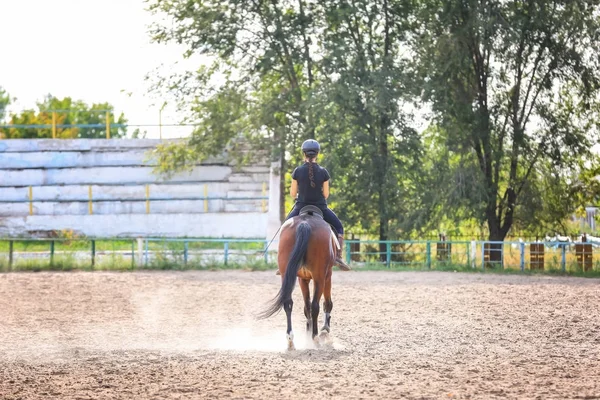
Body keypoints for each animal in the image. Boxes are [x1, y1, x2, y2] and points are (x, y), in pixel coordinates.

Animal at [258, 206, 340, 350]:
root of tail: (305, 223)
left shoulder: (303, 279)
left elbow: (306, 307)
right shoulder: (327, 275)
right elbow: (326, 303)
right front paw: (324, 330)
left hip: (287, 274)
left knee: (288, 303)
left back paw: (291, 340)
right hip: (319, 277)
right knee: (315, 305)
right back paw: (315, 338)